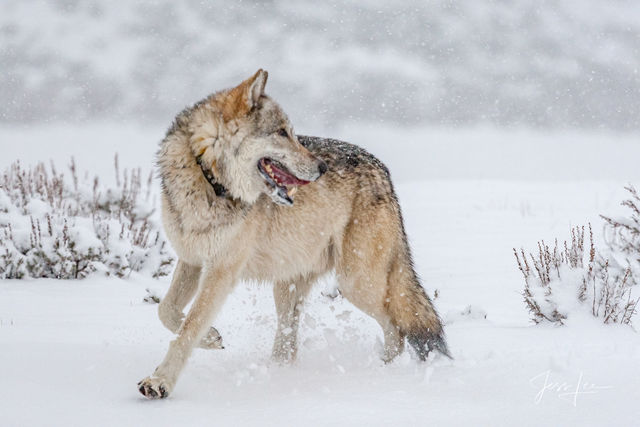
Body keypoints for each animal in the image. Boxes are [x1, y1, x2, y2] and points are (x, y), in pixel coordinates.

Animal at [139, 68, 450, 400]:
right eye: (281, 133)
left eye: (291, 132)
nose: (322, 167)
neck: (209, 181)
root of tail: (385, 174)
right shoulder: (192, 260)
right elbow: (167, 311)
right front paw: (210, 337)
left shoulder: (221, 272)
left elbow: (188, 329)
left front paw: (160, 381)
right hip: (288, 287)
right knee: (289, 347)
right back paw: (279, 376)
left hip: (356, 283)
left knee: (397, 329)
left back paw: (382, 374)